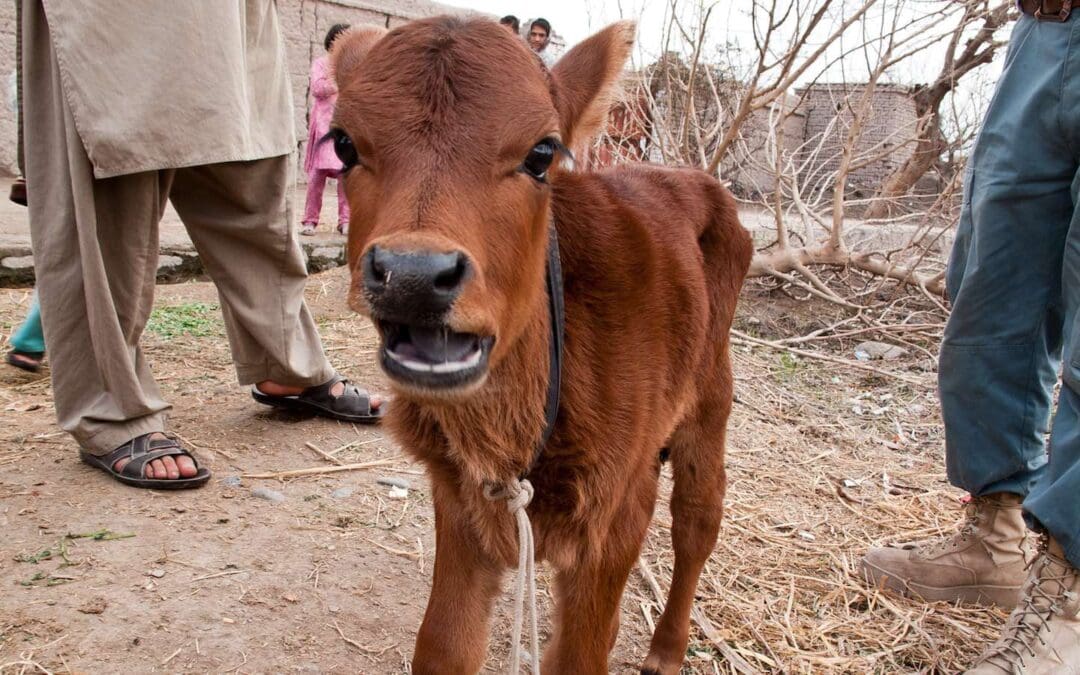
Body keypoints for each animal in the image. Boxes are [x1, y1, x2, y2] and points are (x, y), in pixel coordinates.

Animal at [330, 17, 753, 674]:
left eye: (541, 153)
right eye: (344, 144)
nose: (413, 275)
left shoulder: (619, 509)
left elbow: (580, 655)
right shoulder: (459, 496)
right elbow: (444, 645)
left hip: (710, 400)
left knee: (698, 520)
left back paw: (667, 647)